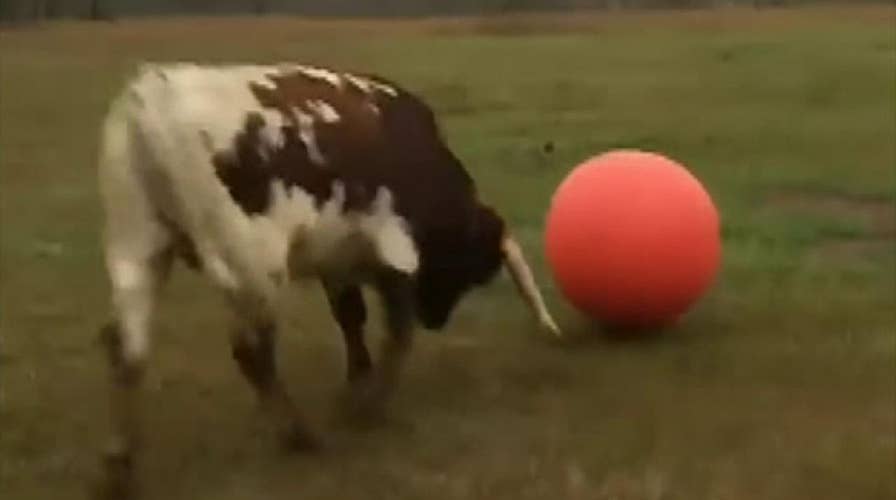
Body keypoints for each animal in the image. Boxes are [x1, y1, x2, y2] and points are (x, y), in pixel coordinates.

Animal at [98, 61, 560, 496]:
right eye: (473, 267)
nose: (437, 318)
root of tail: (151, 97)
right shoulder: (396, 252)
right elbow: (397, 331)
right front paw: (371, 403)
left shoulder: (337, 258)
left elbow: (351, 317)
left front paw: (358, 381)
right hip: (252, 267)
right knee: (252, 351)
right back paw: (298, 434)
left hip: (135, 250)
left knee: (127, 350)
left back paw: (120, 465)